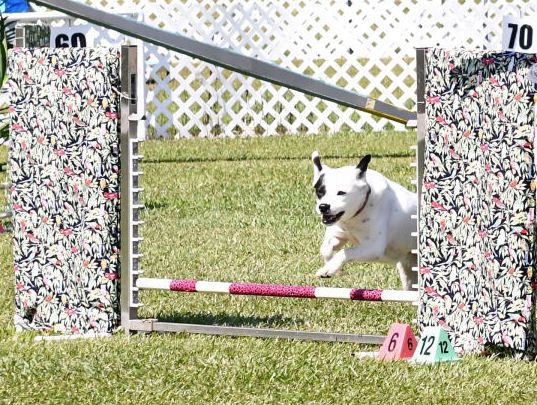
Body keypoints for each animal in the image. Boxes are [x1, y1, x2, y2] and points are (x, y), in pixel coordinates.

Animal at [312, 151, 417, 291]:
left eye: (341, 193)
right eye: (320, 191)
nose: (323, 207)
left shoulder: (372, 247)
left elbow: (346, 252)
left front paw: (329, 269)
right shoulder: (339, 233)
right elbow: (325, 249)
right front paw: (330, 266)